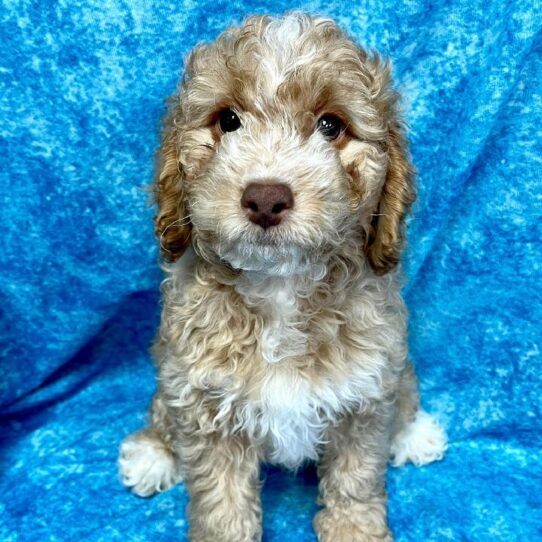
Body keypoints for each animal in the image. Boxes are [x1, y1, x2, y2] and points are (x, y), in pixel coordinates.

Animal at [121, 12, 448, 542]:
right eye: (228, 121)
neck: (281, 286)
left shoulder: (366, 394)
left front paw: (354, 530)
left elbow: (355, 479)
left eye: (331, 125)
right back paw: (152, 452)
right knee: (162, 409)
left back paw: (415, 431)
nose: (265, 197)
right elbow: (221, 502)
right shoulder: (203, 400)